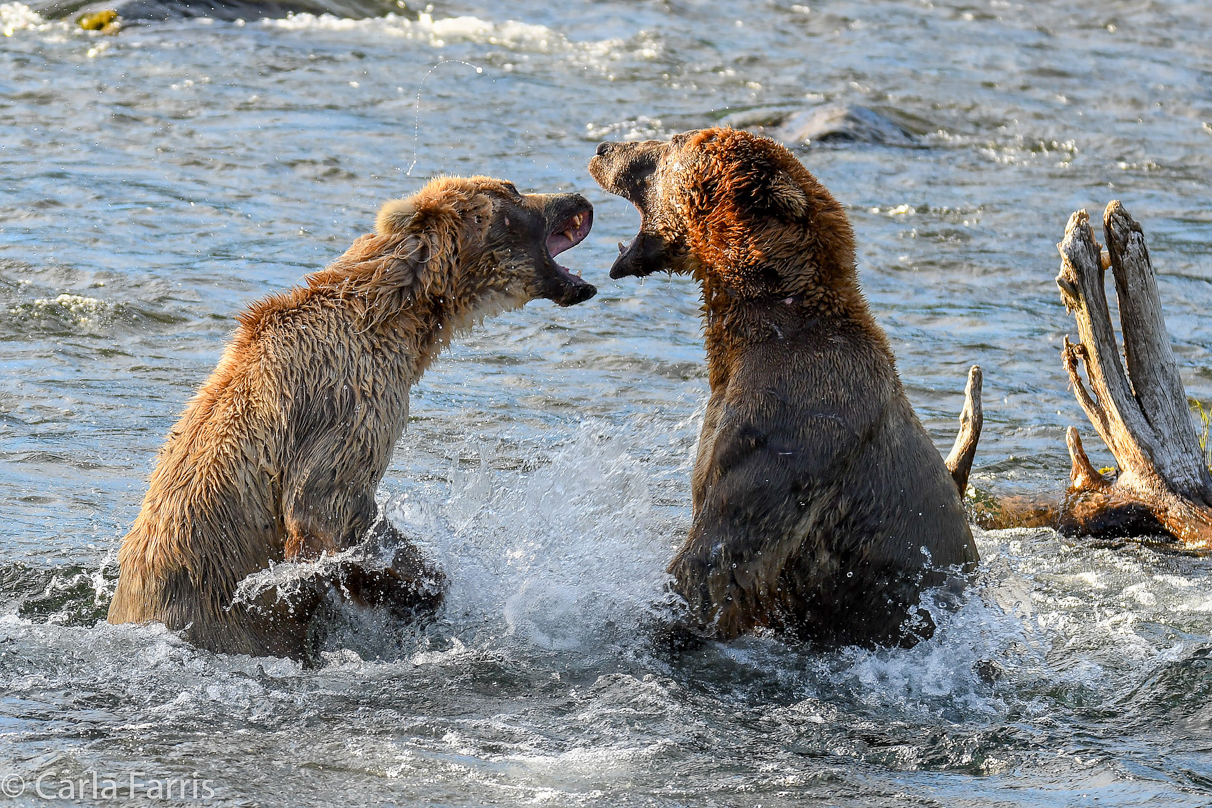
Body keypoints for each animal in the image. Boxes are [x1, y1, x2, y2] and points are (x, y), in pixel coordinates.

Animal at [107, 175, 596, 658]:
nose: (578, 198)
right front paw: (419, 588)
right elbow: (329, 507)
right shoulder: (349, 395)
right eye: (512, 190)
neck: (401, 317)